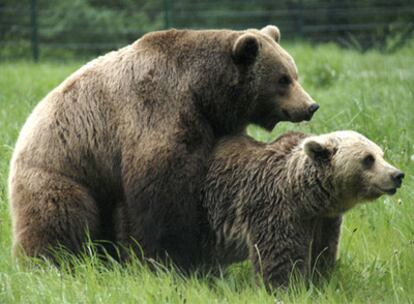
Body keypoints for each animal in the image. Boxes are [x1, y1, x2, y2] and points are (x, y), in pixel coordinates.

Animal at [10, 25, 320, 268]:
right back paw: (50, 261)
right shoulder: (158, 109)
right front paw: (171, 256)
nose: (310, 106)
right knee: (59, 220)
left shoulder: (216, 123)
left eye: (294, 73)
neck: (203, 91)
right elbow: (162, 192)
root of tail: (22, 134)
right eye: (283, 79)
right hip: (62, 170)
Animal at [201, 129, 404, 288]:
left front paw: (320, 280)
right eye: (368, 158)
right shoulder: (275, 209)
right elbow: (280, 259)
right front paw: (285, 287)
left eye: (381, 154)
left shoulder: (324, 220)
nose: (397, 175)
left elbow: (323, 251)